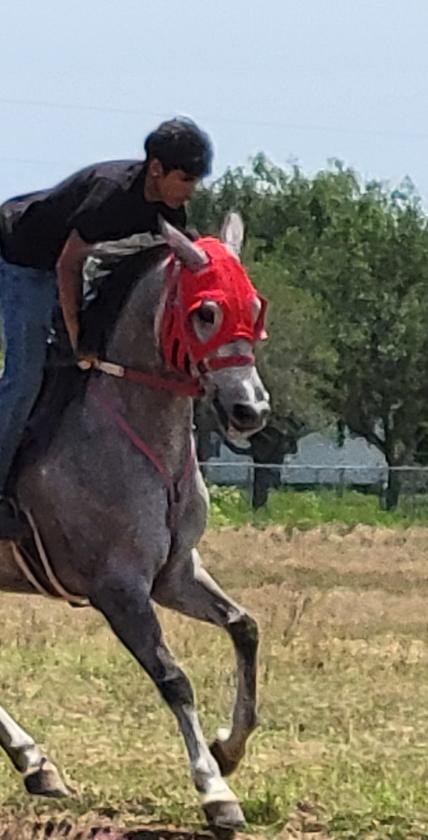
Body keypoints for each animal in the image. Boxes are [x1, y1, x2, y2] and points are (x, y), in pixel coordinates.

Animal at [0, 214, 270, 830]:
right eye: (206, 312)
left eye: (254, 306)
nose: (251, 410)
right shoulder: (117, 589)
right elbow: (173, 678)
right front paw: (215, 791)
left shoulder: (174, 574)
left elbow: (245, 628)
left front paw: (229, 747)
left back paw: (36, 763)